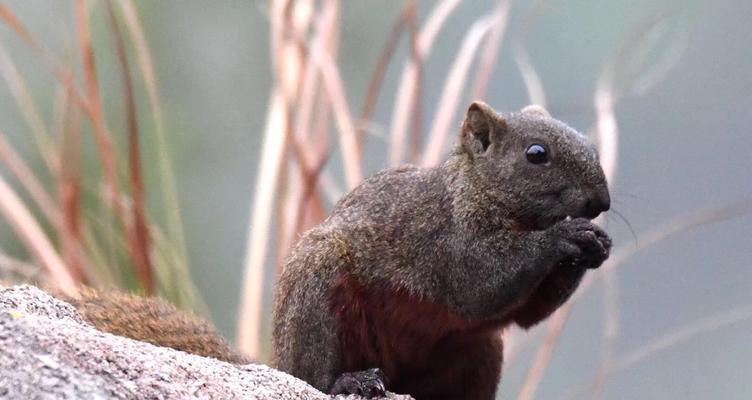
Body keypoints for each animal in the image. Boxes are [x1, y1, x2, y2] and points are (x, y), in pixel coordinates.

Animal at [272, 101, 612, 400]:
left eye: (591, 148)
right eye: (536, 153)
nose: (601, 201)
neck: (476, 189)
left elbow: (529, 313)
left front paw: (597, 243)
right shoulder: (448, 241)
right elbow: (482, 285)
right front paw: (564, 235)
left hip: (478, 353)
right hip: (314, 289)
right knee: (313, 374)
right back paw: (351, 381)